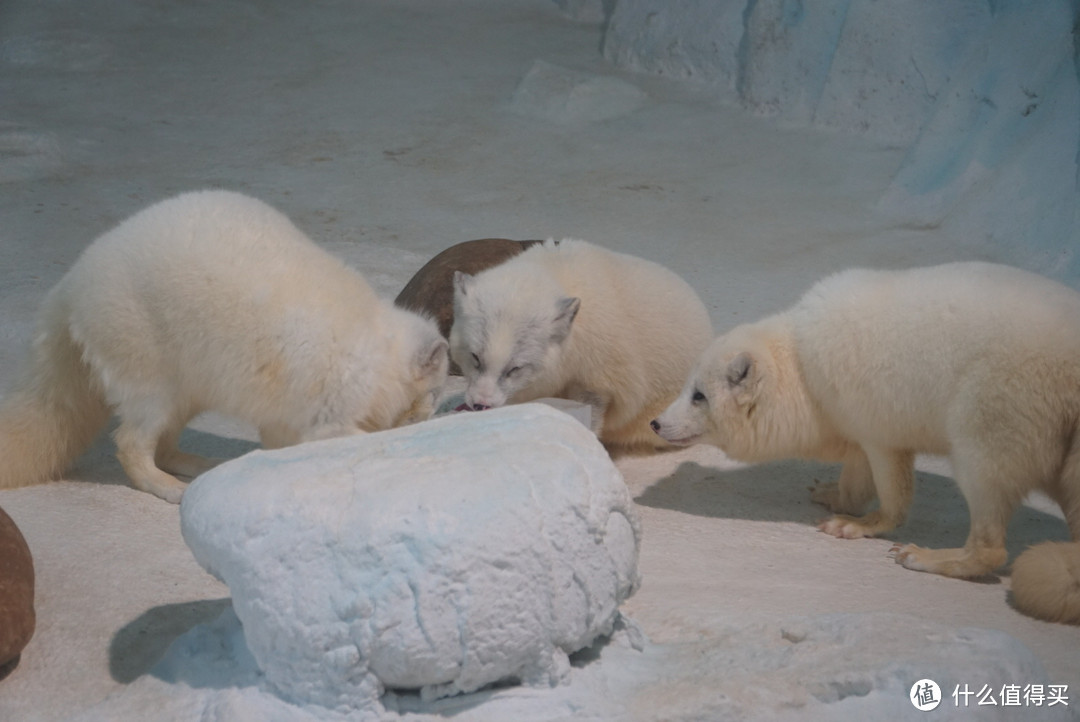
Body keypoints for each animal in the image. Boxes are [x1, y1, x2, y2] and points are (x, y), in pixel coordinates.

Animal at [0, 189, 447, 500]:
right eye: (439, 387)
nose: (433, 410)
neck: (375, 348)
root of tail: (71, 284)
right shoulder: (332, 389)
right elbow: (329, 434)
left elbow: (281, 438)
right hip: (139, 341)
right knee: (137, 430)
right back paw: (168, 485)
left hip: (189, 370)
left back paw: (198, 464)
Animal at [648, 262, 1080, 621]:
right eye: (688, 386)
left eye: (699, 395)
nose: (656, 423)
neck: (804, 366)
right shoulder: (848, 410)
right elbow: (856, 463)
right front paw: (833, 495)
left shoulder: (872, 406)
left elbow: (888, 474)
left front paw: (858, 525)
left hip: (1000, 404)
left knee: (986, 484)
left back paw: (930, 556)